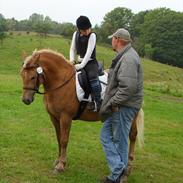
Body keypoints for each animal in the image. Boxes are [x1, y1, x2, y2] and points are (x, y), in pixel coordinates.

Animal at [19, 48, 143, 177]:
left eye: (33, 77)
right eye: (22, 75)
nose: (26, 100)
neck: (61, 82)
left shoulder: (65, 117)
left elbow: (64, 140)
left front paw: (61, 165)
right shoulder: (54, 117)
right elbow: (58, 138)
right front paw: (58, 160)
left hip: (131, 117)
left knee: (132, 136)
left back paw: (128, 167)